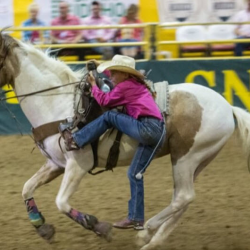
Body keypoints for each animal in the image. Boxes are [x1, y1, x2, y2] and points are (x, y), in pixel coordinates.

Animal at [0, 33, 250, 250]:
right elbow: (26, 188)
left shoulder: (78, 165)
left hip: (187, 157)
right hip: (196, 160)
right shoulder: (55, 164)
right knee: (183, 199)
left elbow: (61, 202)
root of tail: (228, 107)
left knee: (183, 197)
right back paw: (151, 240)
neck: (61, 105)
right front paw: (42, 227)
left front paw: (98, 226)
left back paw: (145, 230)